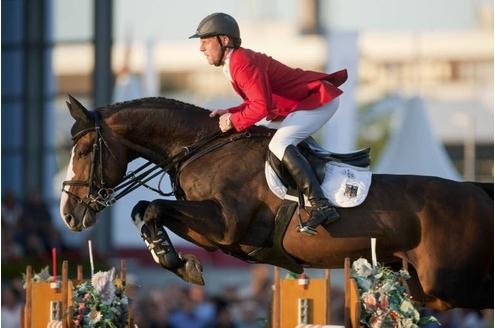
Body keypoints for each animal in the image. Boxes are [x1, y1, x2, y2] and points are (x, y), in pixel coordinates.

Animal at [60, 95, 494, 312]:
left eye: (83, 150)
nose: (68, 214)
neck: (202, 148)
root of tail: (477, 191)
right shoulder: (215, 235)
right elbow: (145, 210)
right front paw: (175, 258)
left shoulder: (225, 225)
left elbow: (151, 207)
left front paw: (178, 263)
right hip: (426, 287)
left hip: (448, 282)